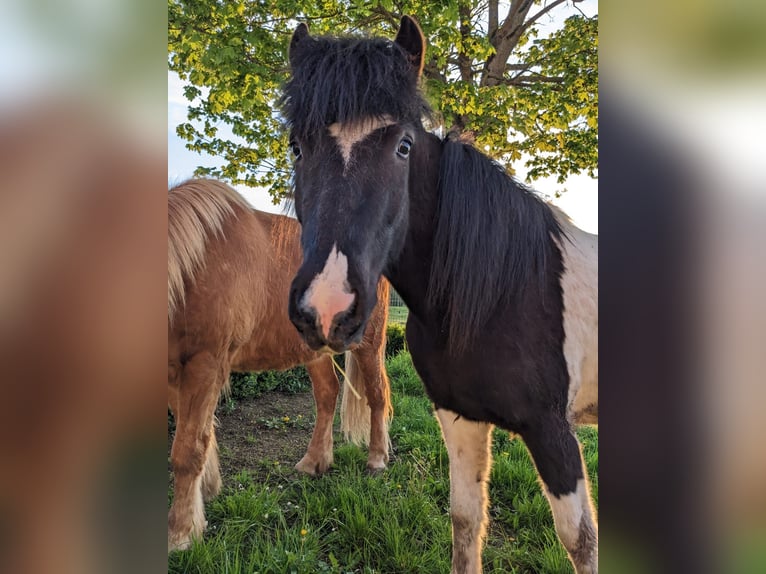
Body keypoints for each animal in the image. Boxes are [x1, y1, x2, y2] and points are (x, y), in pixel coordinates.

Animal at [169, 179, 396, 552]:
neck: (193, 265)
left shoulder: (205, 364)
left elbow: (188, 449)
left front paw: (181, 534)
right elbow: (202, 437)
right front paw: (207, 494)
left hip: (369, 345)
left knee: (377, 396)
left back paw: (376, 460)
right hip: (315, 351)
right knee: (327, 395)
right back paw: (314, 462)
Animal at [282, 15, 600, 572]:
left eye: (404, 146)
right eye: (297, 147)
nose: (327, 308)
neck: (504, 294)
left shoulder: (553, 431)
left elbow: (579, 540)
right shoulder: (459, 417)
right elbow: (466, 520)